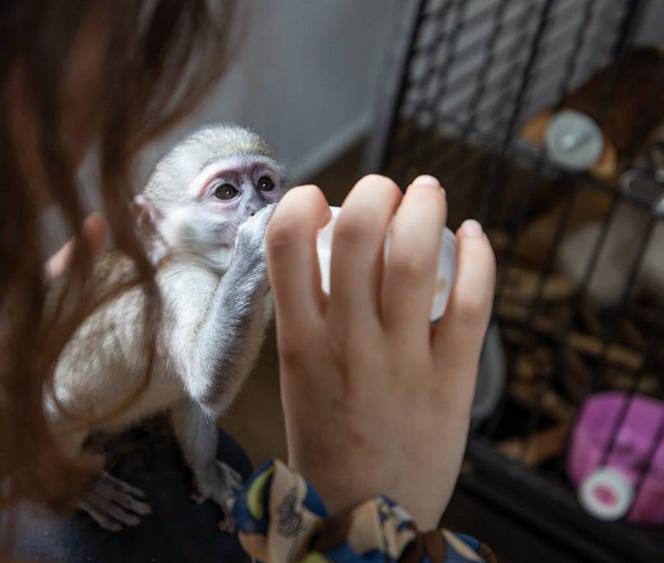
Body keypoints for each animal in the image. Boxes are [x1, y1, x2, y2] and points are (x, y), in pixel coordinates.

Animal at [46, 124, 286, 532]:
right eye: (227, 192)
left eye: (265, 183)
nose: (256, 207)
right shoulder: (179, 286)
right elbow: (207, 381)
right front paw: (255, 242)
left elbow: (193, 399)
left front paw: (209, 478)